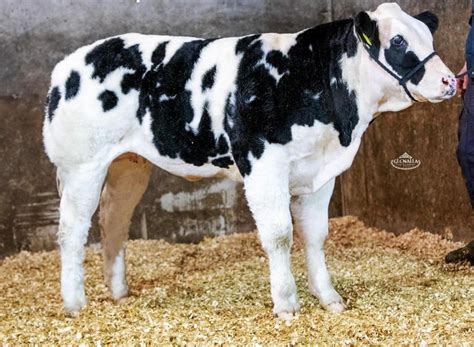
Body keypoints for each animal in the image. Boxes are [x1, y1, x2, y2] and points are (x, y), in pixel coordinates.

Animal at [43, 2, 456, 320]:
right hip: (82, 165)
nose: (450, 81)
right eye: (398, 41)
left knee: (113, 220)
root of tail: (71, 62)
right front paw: (287, 304)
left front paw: (329, 298)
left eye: (428, 37)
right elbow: (279, 234)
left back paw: (118, 292)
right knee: (72, 231)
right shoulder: (263, 165)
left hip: (128, 164)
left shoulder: (319, 172)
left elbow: (316, 236)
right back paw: (75, 303)